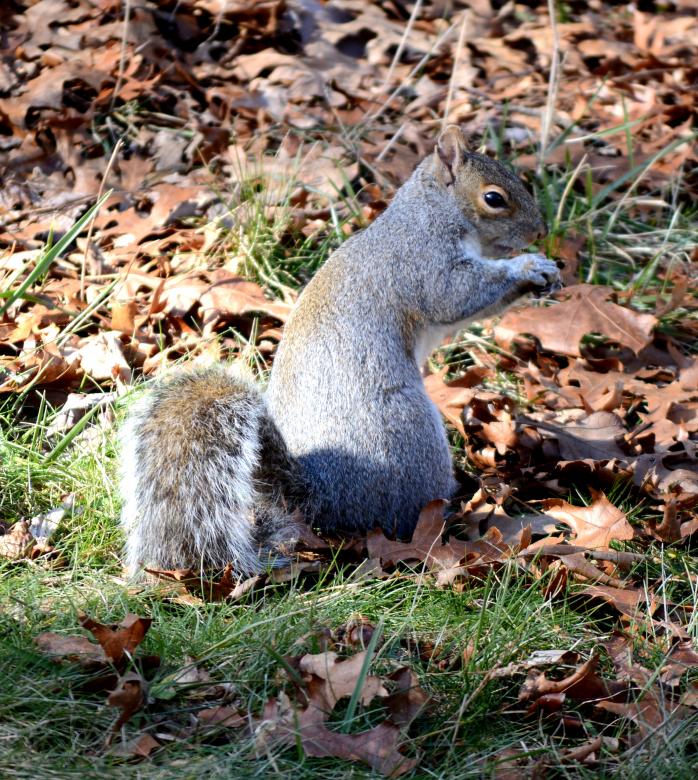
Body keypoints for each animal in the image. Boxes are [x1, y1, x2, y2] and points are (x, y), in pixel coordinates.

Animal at [119, 125, 560, 575]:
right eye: (494, 198)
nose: (540, 232)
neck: (430, 214)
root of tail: (319, 499)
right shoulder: (422, 263)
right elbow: (455, 295)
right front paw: (528, 267)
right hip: (411, 434)